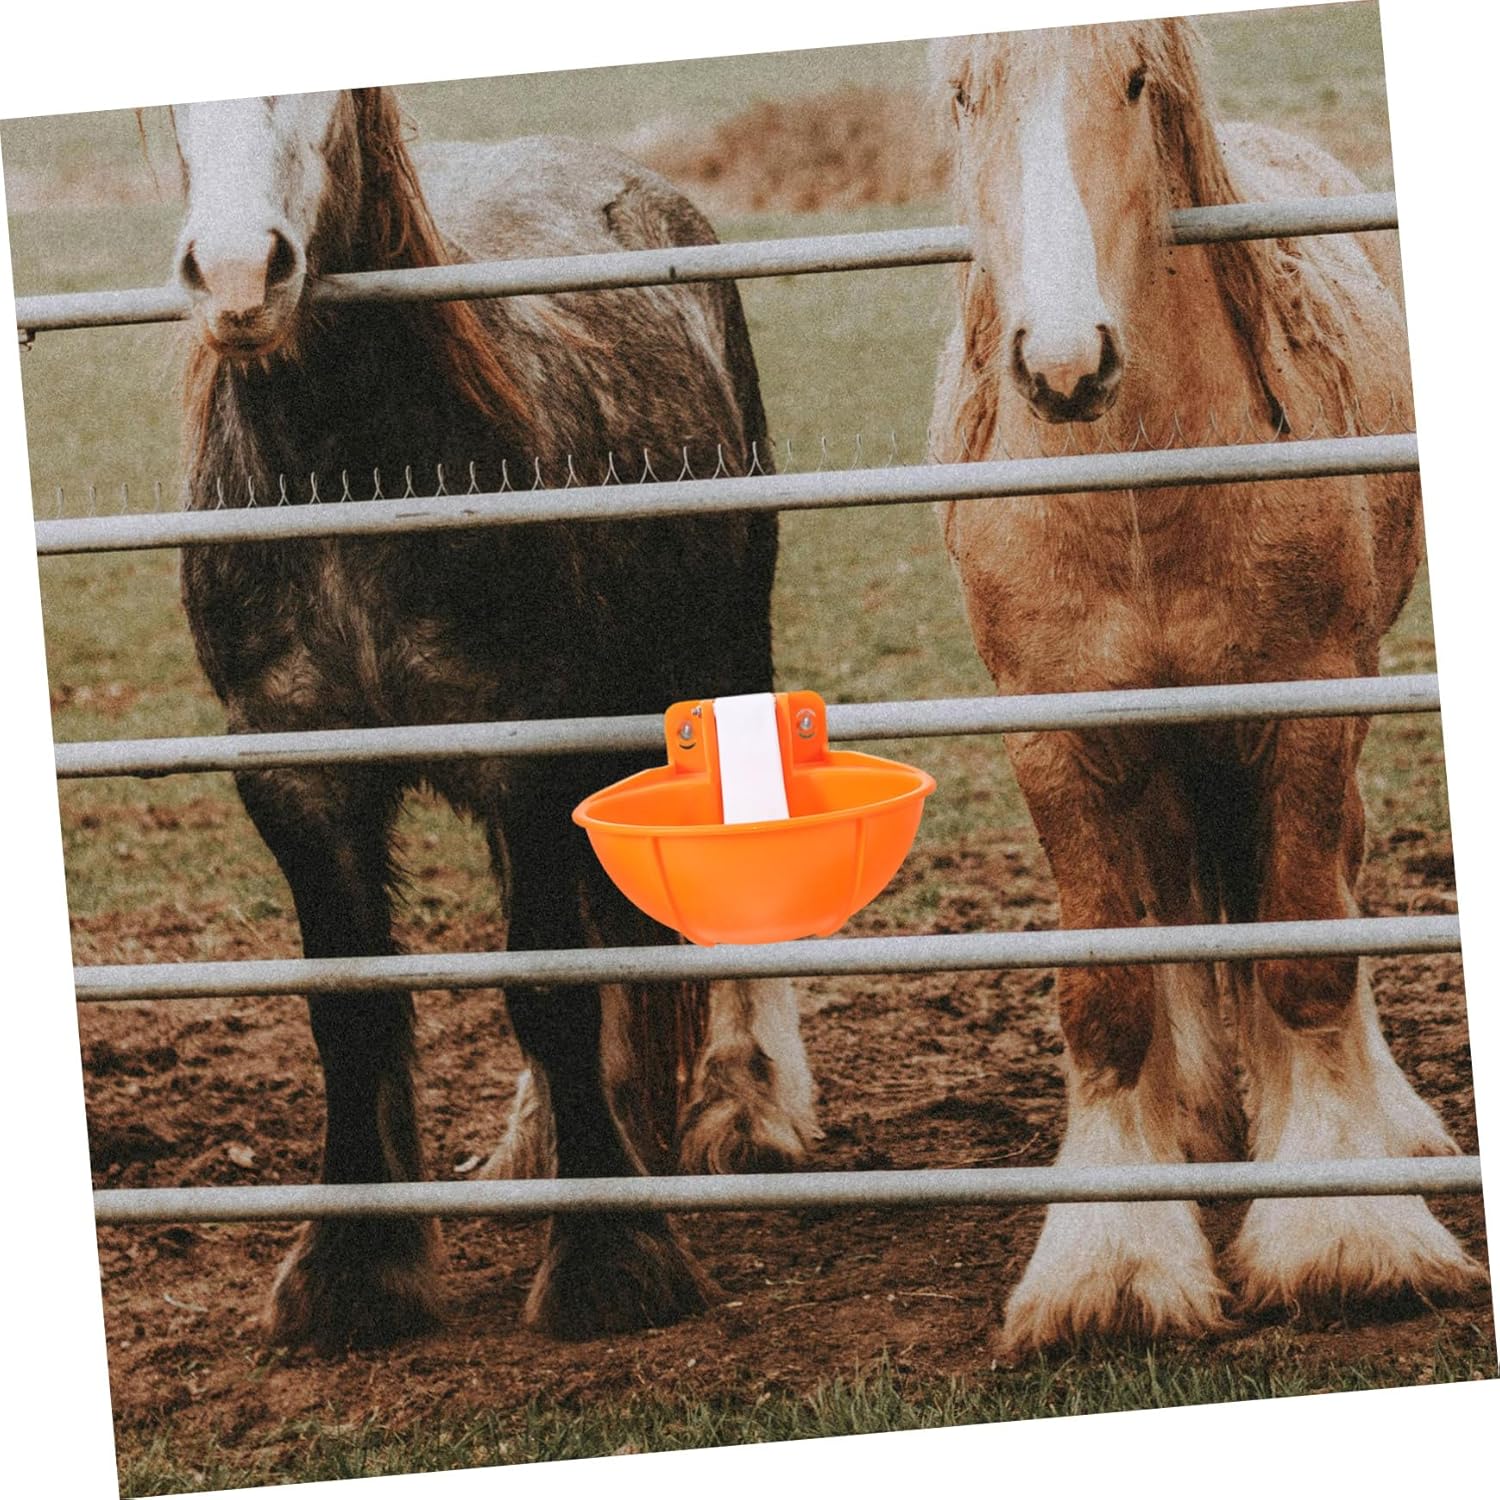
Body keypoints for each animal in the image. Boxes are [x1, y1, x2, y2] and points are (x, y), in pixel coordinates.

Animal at [168, 88, 817, 1351]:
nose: (235, 273)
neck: (353, 475)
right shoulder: (296, 775)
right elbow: (352, 1006)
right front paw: (354, 1270)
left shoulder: (526, 748)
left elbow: (547, 990)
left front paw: (611, 1259)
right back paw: (543, 1141)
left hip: (717, 656)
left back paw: (745, 1108)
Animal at [927, 20, 1484, 1356]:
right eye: (966, 94)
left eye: (1133, 82)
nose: (1064, 365)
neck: (1133, 491)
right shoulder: (1058, 737)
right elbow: (1114, 992)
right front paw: (1114, 1262)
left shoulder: (1307, 708)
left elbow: (1303, 954)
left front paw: (1342, 1230)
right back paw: (1195, 1119)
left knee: (1327, 881)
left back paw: (1373, 1118)